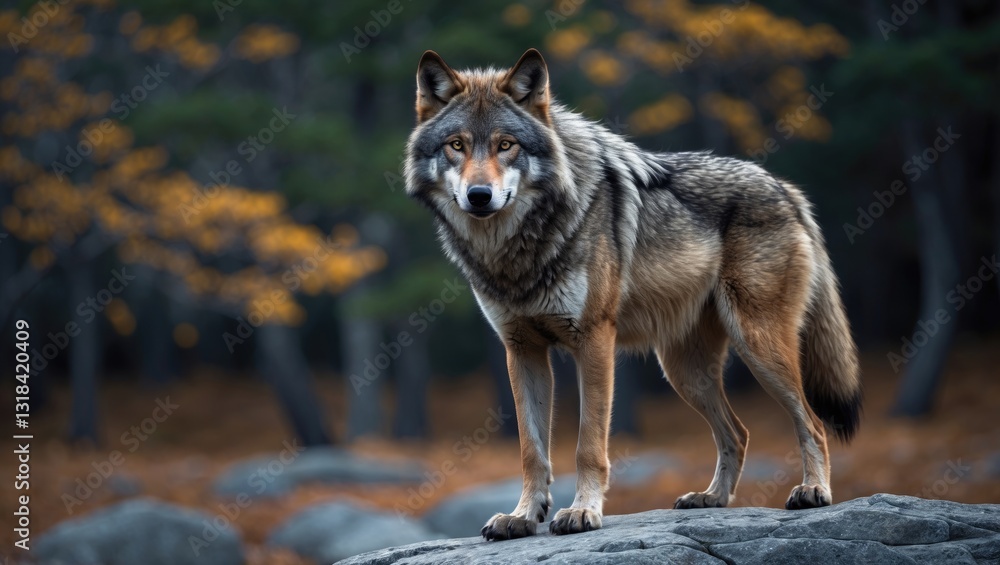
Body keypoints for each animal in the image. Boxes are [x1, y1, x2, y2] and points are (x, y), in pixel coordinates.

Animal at [404, 48, 862, 540]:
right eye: (457, 145)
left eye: (506, 145)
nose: (479, 195)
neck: (516, 251)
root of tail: (784, 187)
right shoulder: (521, 349)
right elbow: (531, 450)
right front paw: (523, 516)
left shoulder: (593, 341)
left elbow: (588, 445)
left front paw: (582, 512)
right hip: (684, 371)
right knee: (738, 433)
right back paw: (711, 498)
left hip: (758, 346)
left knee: (812, 423)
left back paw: (814, 492)